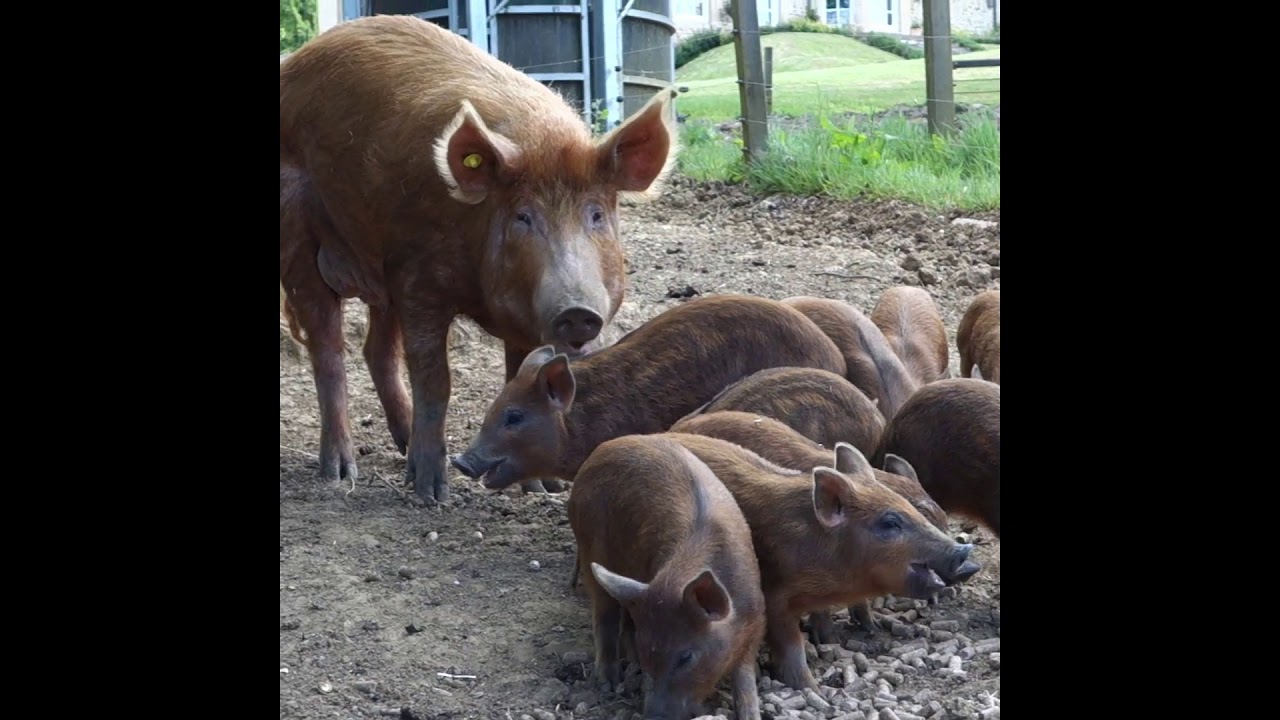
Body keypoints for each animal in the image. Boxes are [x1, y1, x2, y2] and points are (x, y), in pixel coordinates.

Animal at [279, 14, 679, 503]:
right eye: (523, 217)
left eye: (597, 214)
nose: (578, 310)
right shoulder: (417, 278)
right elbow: (434, 378)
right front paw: (432, 494)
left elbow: (519, 374)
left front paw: (543, 488)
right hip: (297, 237)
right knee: (329, 350)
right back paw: (339, 473)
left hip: (377, 267)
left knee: (376, 350)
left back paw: (401, 446)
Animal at [571, 434, 767, 720]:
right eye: (647, 650)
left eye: (686, 656)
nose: (652, 715)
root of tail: (600, 450)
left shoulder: (756, 620)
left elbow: (745, 677)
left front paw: (750, 713)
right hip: (589, 548)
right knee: (603, 613)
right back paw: (608, 683)